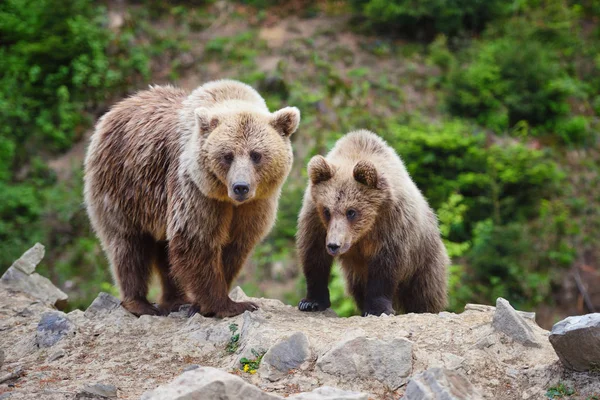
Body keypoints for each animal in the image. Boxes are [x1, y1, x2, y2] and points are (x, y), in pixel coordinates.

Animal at [84, 79, 300, 318]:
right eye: (227, 155)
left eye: (256, 155)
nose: (240, 187)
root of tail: (116, 108)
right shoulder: (196, 190)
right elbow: (196, 240)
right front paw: (228, 305)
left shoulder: (256, 204)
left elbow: (234, 247)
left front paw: (208, 302)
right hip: (122, 186)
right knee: (128, 244)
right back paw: (140, 303)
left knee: (164, 251)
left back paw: (176, 300)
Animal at [298, 130, 448, 318]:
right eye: (327, 211)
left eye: (351, 211)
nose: (334, 245)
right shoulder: (316, 220)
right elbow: (314, 256)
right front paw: (311, 302)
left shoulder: (392, 223)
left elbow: (385, 266)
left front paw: (378, 308)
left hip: (424, 260)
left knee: (424, 292)